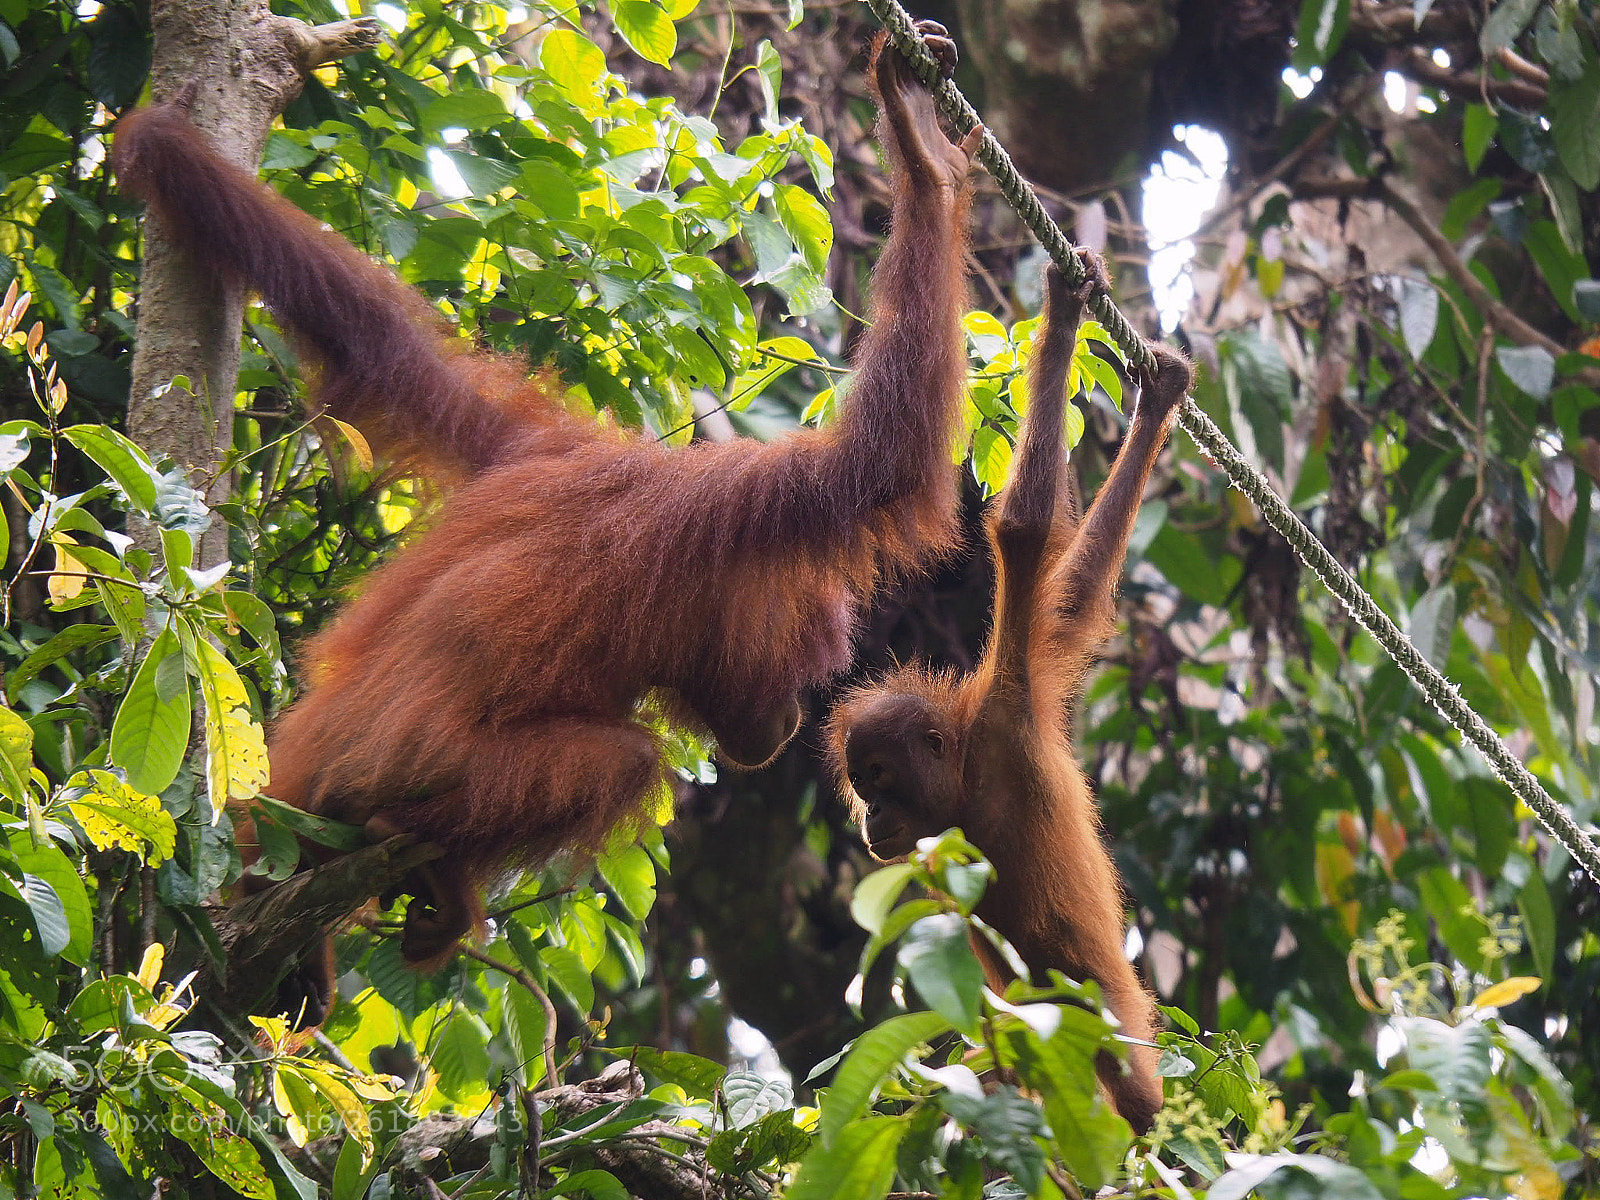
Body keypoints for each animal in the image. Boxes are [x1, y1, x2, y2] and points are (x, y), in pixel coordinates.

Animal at [112, 25, 982, 1014]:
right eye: (807, 671)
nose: (793, 719)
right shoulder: (739, 505)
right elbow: (884, 455)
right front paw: (928, 160)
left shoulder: (539, 447)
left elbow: (377, 338)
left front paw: (163, 149)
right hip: (362, 781)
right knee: (621, 761)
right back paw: (434, 870)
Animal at [826, 253, 1193, 1133]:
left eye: (879, 779)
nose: (873, 819)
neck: (964, 781)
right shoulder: (1036, 671)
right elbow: (1075, 597)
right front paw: (1155, 403)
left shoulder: (1009, 705)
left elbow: (1023, 534)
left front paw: (1063, 313)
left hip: (1113, 1018)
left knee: (1133, 1088)